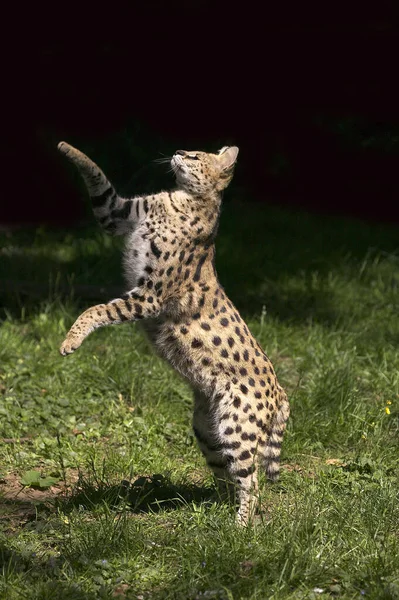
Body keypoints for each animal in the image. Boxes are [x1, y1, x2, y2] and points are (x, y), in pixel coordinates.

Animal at [57, 142, 290, 524]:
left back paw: (240, 528)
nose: (179, 151)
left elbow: (98, 310)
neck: (183, 199)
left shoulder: (149, 296)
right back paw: (215, 514)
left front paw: (71, 339)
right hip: (208, 431)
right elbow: (96, 175)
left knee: (252, 483)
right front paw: (66, 147)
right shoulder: (116, 212)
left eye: (196, 156)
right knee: (227, 477)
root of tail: (282, 391)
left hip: (237, 429)